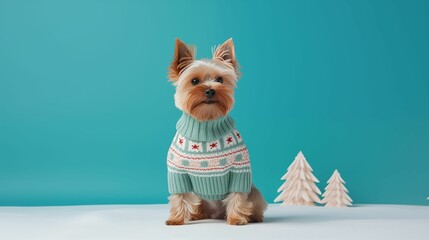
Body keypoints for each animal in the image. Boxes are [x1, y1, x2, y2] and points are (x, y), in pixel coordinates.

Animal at [166, 38, 266, 225]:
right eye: (194, 81)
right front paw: (176, 219)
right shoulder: (178, 174)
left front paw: (236, 218)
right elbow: (179, 196)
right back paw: (197, 214)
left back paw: (252, 216)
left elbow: (237, 196)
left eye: (220, 79)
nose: (210, 90)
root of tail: (217, 214)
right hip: (198, 196)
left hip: (254, 191)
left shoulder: (239, 171)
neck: (206, 123)